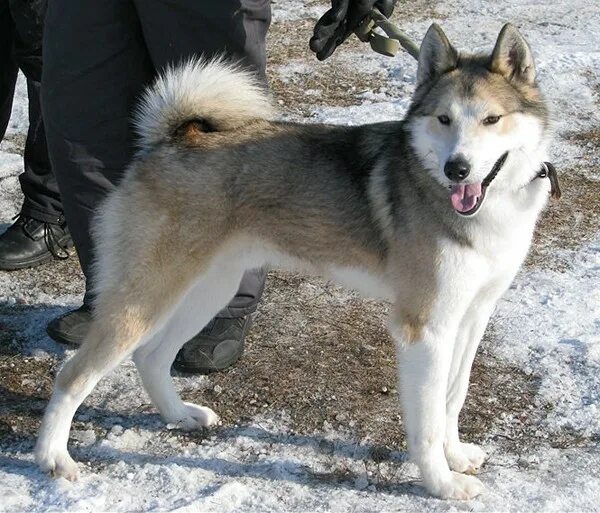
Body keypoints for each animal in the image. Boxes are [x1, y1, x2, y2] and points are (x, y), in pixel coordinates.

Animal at [36, 23, 552, 496]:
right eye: (443, 119)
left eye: (492, 119)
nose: (457, 169)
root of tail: (174, 138)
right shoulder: (423, 328)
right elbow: (425, 422)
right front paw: (441, 483)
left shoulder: (470, 316)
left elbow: (452, 398)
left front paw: (456, 456)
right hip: (146, 298)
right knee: (73, 376)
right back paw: (53, 458)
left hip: (208, 290)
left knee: (150, 356)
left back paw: (179, 415)